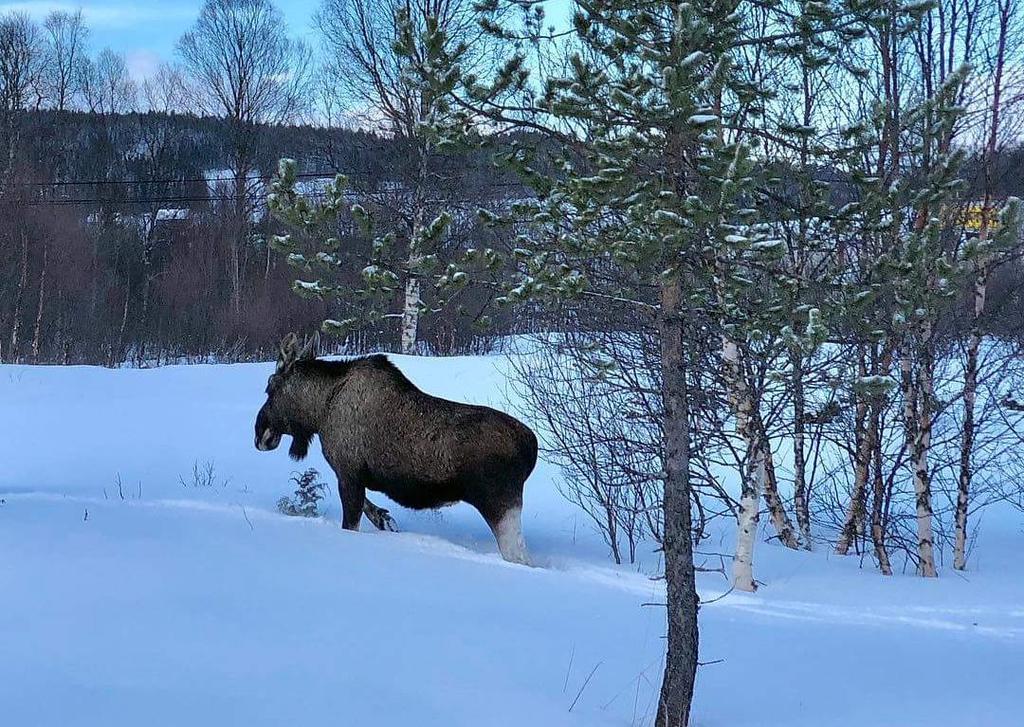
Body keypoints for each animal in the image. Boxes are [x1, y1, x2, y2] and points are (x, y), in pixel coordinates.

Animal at [253, 333, 536, 565]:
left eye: (269, 387)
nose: (259, 432)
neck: (320, 409)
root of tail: (531, 446)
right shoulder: (355, 477)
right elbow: (369, 507)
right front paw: (384, 519)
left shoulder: (348, 472)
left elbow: (352, 521)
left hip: (499, 502)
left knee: (519, 556)